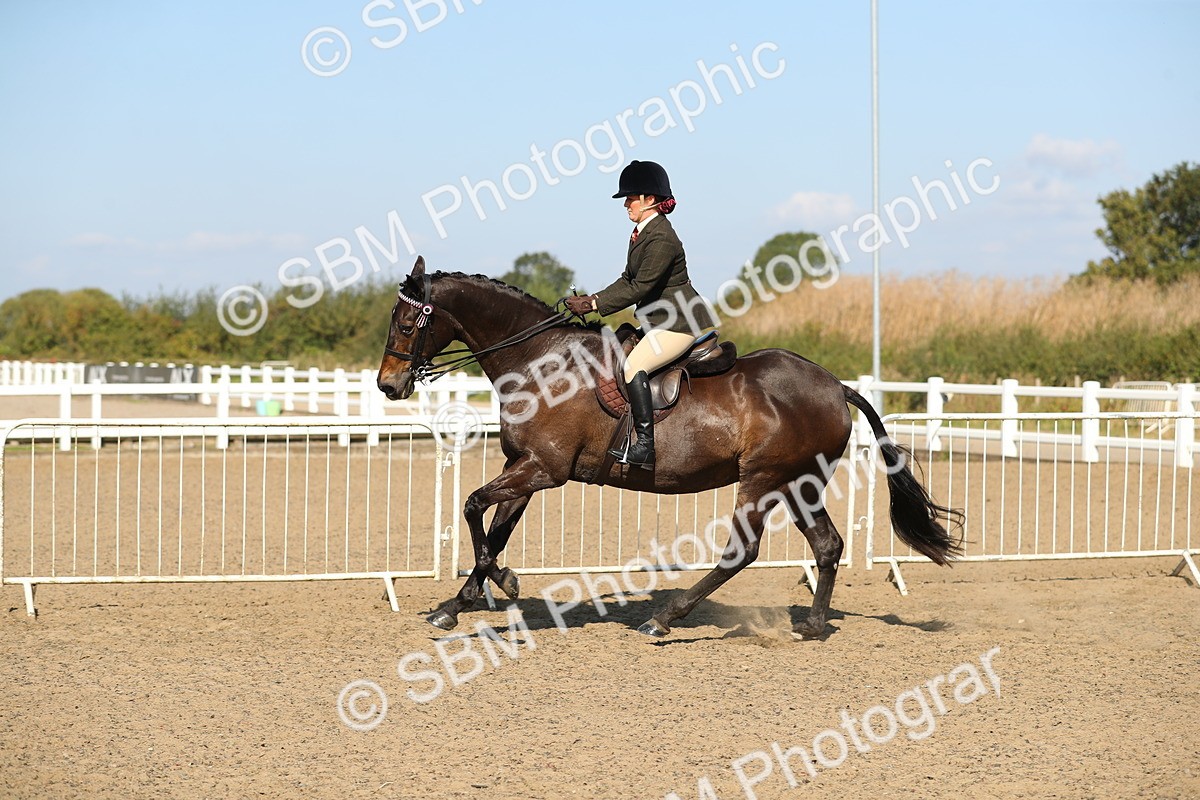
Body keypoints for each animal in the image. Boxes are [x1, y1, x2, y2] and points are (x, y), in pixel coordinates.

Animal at [377, 257, 962, 638]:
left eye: (405, 323)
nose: (388, 385)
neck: (539, 361)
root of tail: (835, 386)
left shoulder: (544, 468)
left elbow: (474, 506)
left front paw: (503, 585)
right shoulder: (523, 467)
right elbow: (493, 530)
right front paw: (460, 602)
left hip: (763, 480)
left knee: (742, 550)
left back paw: (663, 619)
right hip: (801, 482)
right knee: (827, 545)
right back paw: (814, 625)